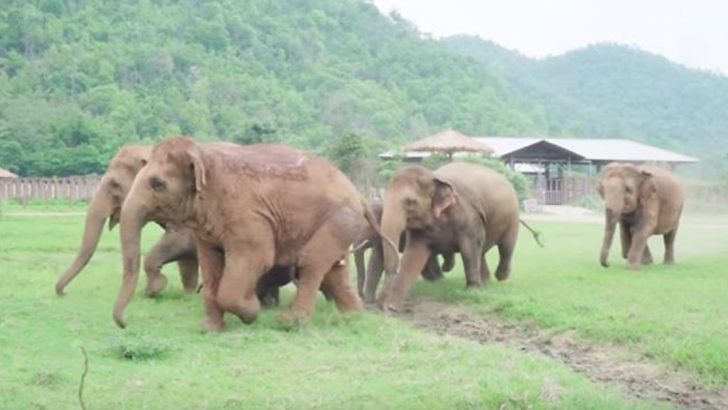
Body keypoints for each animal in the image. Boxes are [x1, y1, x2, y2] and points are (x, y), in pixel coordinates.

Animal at [112, 138, 392, 330]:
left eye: (157, 184)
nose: (125, 323)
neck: (204, 153)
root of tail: (359, 195)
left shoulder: (249, 217)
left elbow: (256, 258)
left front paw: (251, 312)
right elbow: (211, 264)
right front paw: (210, 329)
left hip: (339, 220)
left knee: (311, 263)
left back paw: (289, 323)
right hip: (340, 225)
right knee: (335, 270)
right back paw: (354, 319)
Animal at [376, 163, 524, 310]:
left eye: (410, 202)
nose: (382, 306)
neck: (434, 176)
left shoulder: (469, 217)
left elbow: (469, 250)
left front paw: (473, 291)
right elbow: (414, 255)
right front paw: (393, 307)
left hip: (512, 216)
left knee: (506, 247)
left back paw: (500, 276)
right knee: (481, 252)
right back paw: (486, 282)